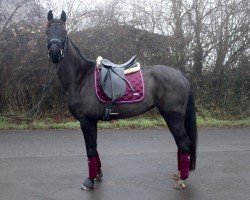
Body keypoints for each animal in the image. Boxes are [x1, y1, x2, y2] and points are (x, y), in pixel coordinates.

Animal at [45, 11, 197, 191]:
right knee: (180, 144)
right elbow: (95, 148)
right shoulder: (91, 122)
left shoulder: (86, 121)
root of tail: (181, 75)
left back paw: (182, 179)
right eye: (47, 31)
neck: (81, 78)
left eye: (64, 32)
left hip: (173, 116)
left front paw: (89, 181)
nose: (55, 53)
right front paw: (97, 175)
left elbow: (90, 149)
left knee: (184, 143)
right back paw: (179, 174)